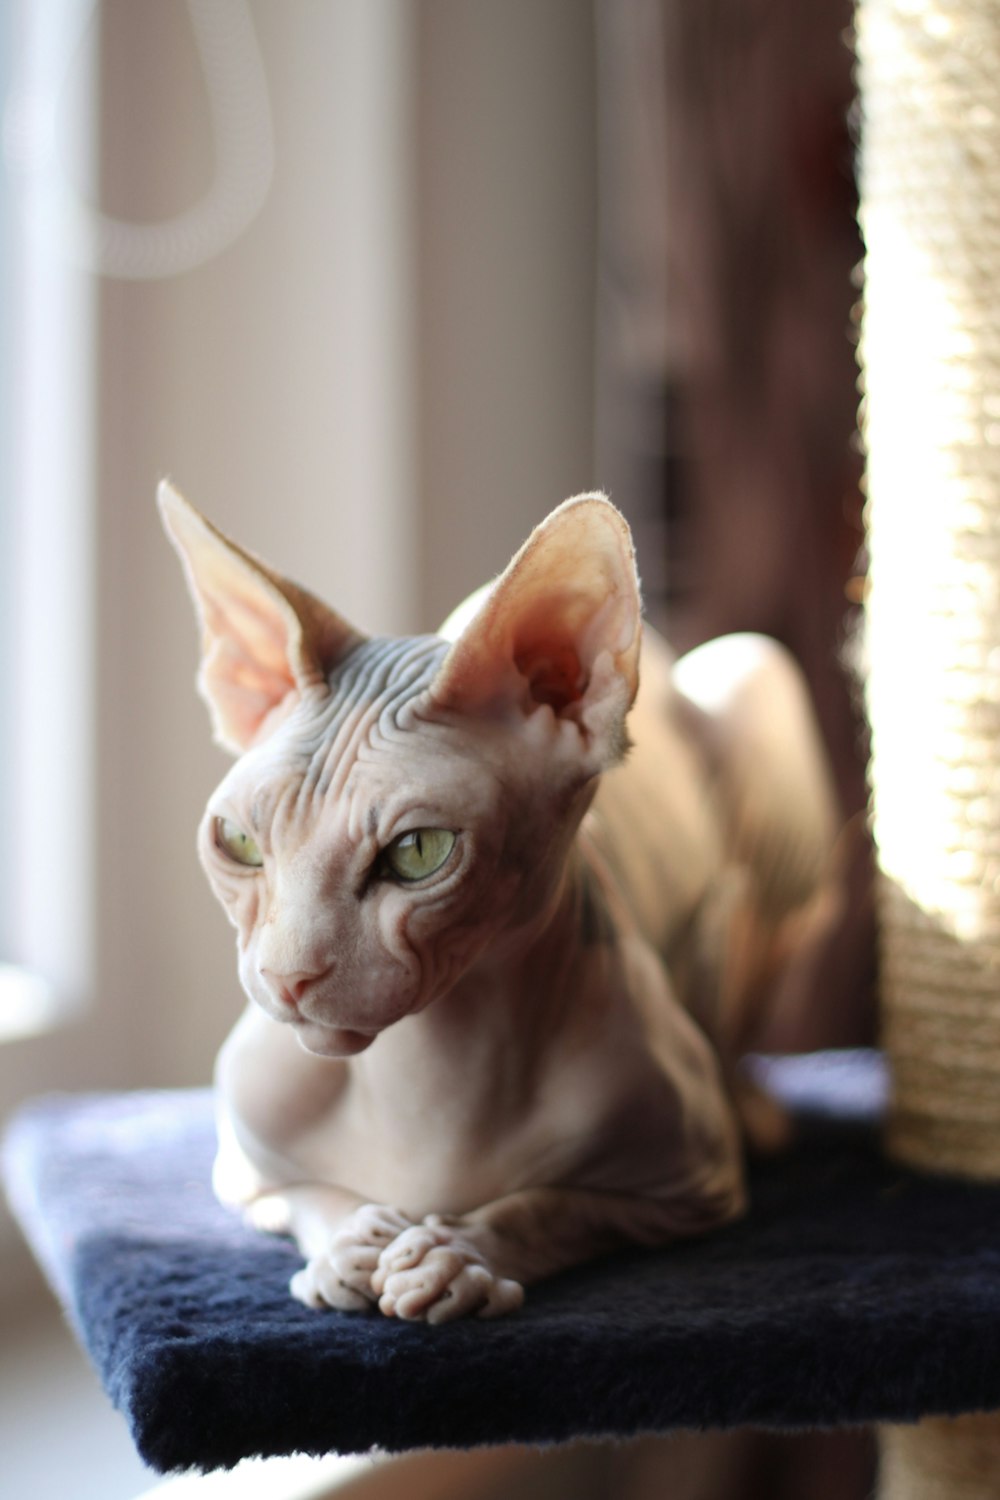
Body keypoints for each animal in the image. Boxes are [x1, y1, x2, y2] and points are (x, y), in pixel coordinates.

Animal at [162, 483, 839, 1326]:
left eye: (419, 853)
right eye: (240, 842)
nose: (285, 979)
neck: (424, 1072)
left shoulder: (695, 1188)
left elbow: (554, 1206)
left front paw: (462, 1253)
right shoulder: (242, 1171)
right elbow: (306, 1197)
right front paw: (353, 1242)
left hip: (760, 680)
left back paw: (755, 1104)